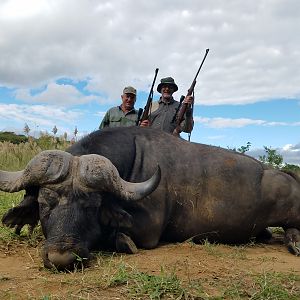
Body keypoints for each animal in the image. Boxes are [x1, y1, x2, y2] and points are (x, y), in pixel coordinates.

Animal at [0, 127, 300, 270]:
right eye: (44, 203)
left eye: (92, 206)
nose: (62, 258)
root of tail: (283, 174)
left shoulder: (149, 231)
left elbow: (118, 235)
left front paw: (123, 241)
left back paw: (293, 243)